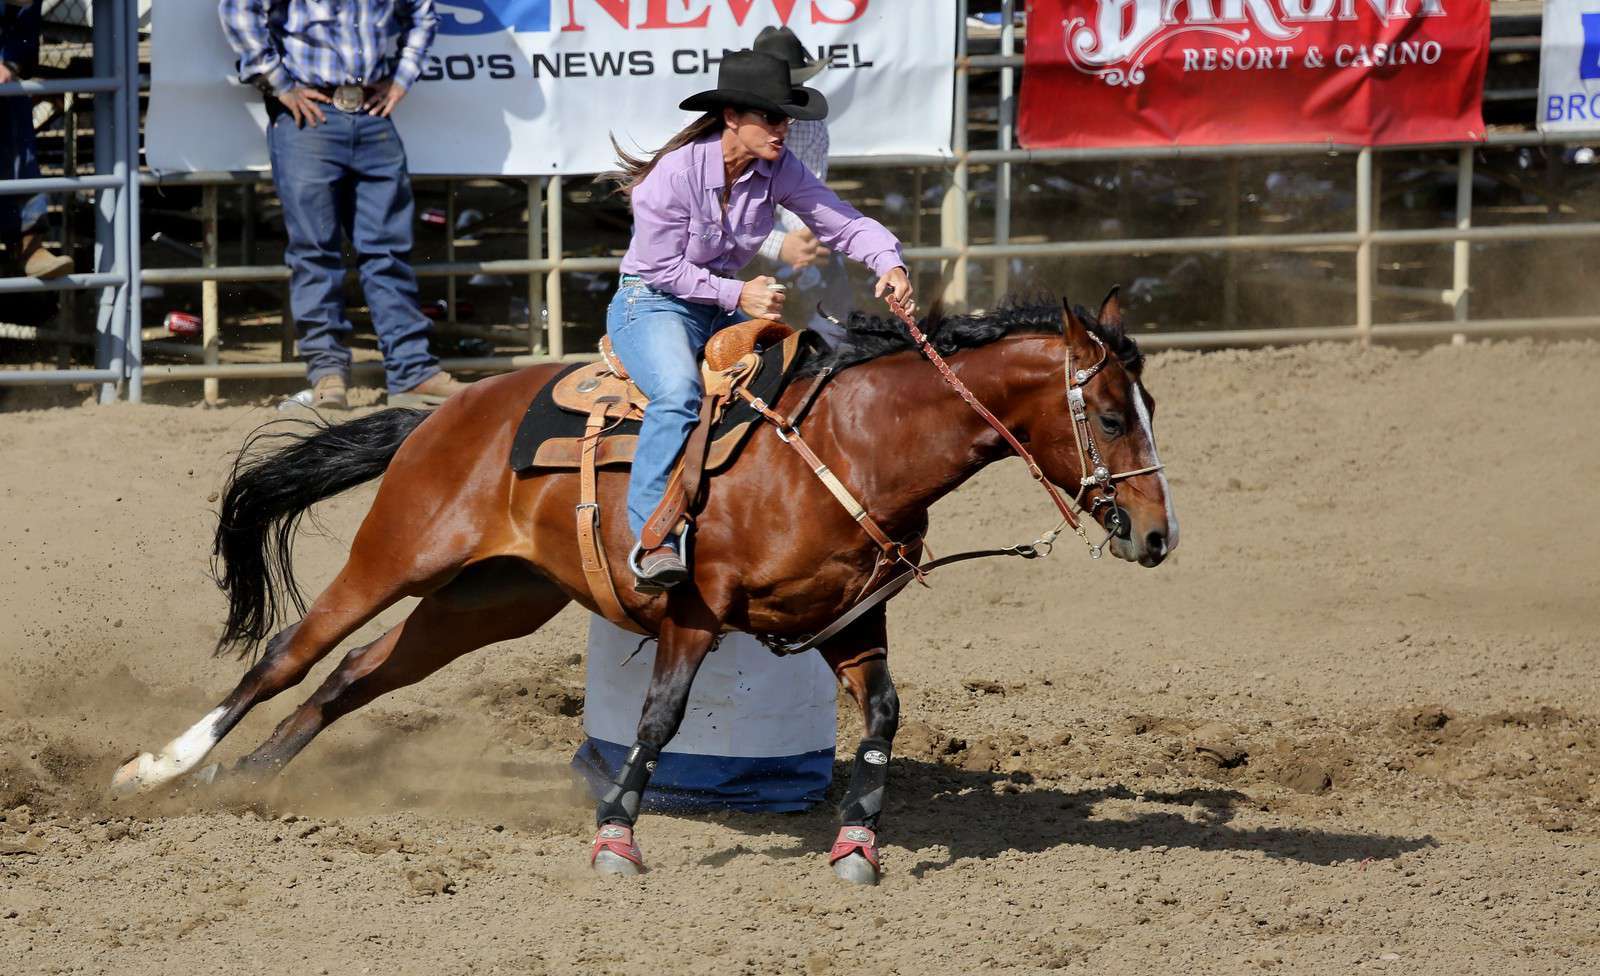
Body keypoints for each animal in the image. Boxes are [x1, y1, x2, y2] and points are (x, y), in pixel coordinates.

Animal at [109, 288, 1177, 883]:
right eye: (1110, 414)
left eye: (1152, 404)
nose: (1159, 535)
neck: (853, 447)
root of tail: (443, 413)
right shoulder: (694, 616)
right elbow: (659, 722)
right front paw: (615, 839)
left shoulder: (847, 622)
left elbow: (881, 718)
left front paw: (857, 847)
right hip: (397, 556)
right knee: (290, 656)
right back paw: (159, 770)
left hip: (486, 601)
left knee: (354, 676)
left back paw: (246, 780)